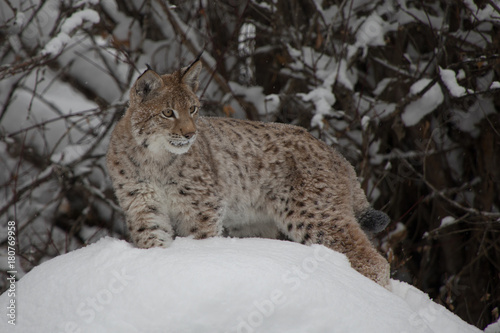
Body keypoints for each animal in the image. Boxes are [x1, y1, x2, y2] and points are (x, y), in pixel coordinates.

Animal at [106, 58, 390, 284]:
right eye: (167, 112)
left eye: (193, 109)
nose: (190, 134)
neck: (155, 158)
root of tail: (336, 153)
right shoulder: (143, 206)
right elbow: (153, 242)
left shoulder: (200, 208)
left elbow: (202, 240)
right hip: (258, 223)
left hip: (314, 213)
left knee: (375, 262)